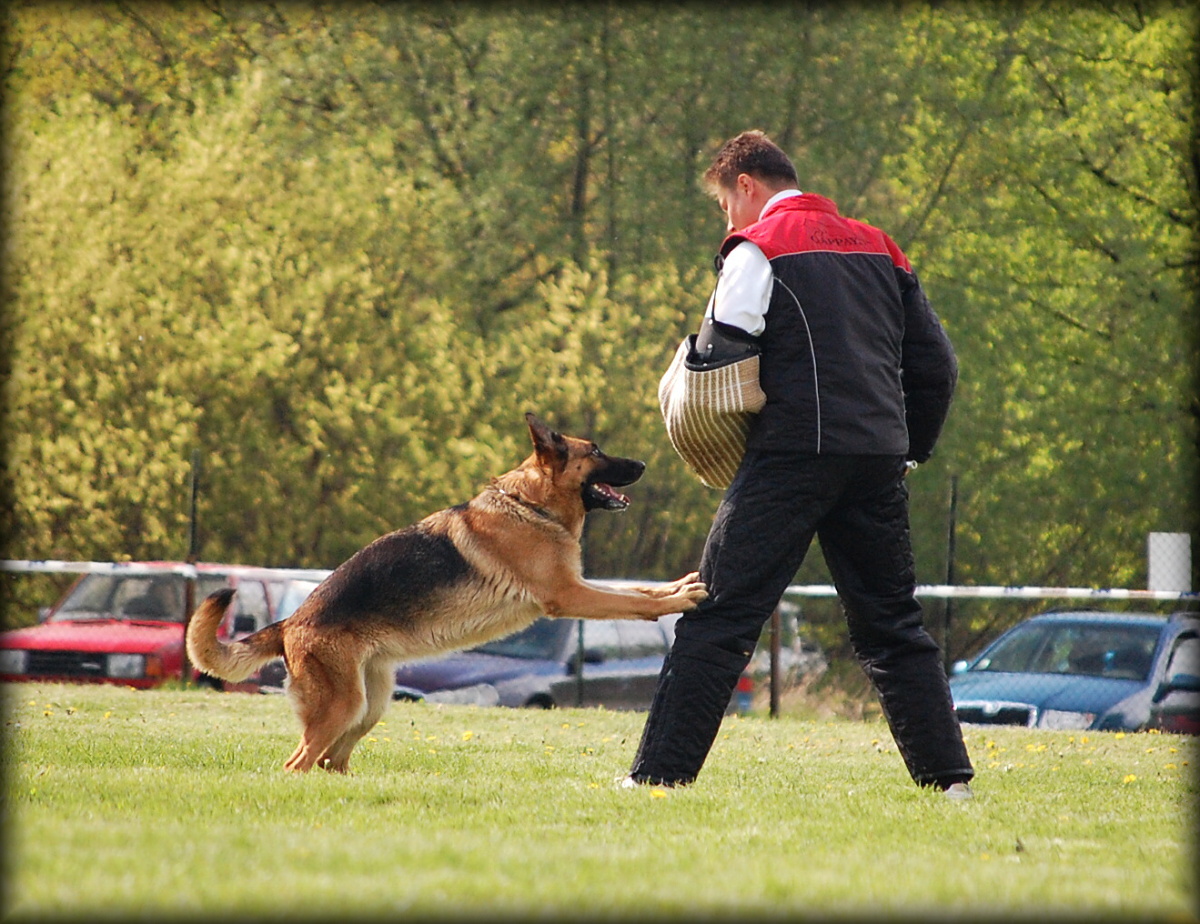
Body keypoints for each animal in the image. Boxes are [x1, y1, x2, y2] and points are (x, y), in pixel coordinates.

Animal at [187, 412, 705, 768]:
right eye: (595, 451)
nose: (644, 463)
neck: (531, 505)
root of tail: (290, 621)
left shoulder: (576, 586)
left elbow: (637, 590)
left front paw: (678, 586)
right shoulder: (570, 594)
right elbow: (630, 600)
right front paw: (678, 599)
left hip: (369, 707)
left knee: (330, 761)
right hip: (343, 706)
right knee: (298, 763)